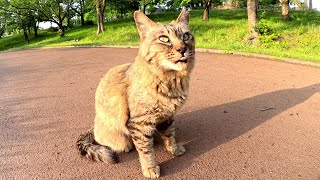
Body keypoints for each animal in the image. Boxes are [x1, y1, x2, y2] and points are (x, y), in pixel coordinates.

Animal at [77, 9, 195, 179]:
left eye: (185, 36)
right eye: (163, 39)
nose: (182, 49)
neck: (171, 80)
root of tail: (93, 127)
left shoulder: (167, 117)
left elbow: (169, 135)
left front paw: (174, 149)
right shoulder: (139, 123)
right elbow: (146, 150)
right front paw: (150, 168)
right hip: (119, 138)